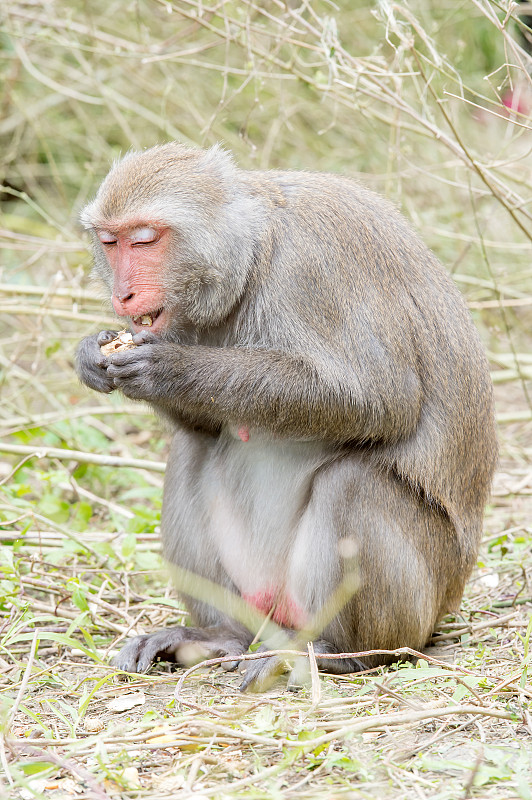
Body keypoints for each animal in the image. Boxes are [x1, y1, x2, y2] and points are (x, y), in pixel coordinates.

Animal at [76, 142, 498, 688]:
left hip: (420, 605)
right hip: (258, 597)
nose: (121, 294)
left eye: (145, 240)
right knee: (192, 448)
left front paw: (170, 368)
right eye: (110, 243)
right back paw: (221, 635)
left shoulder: (314, 267)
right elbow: (205, 426)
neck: (254, 255)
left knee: (351, 484)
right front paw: (92, 354)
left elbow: (380, 398)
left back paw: (341, 653)